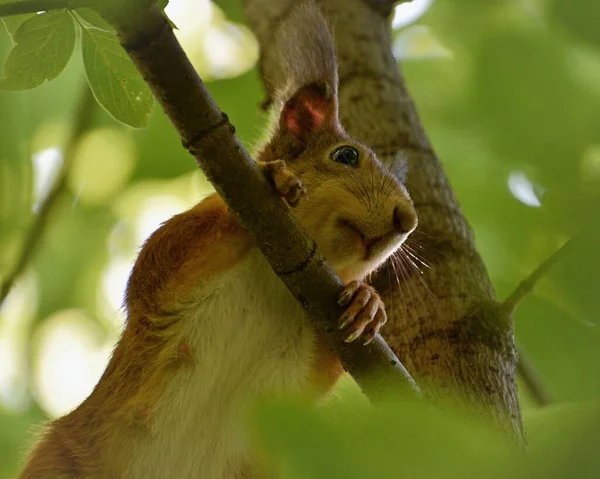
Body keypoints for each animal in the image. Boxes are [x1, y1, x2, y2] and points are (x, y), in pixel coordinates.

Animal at [17, 1, 418, 478]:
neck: (275, 278)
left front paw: (367, 301)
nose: (407, 220)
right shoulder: (167, 273)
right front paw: (275, 181)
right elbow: (167, 258)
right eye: (346, 156)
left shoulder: (306, 352)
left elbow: (323, 367)